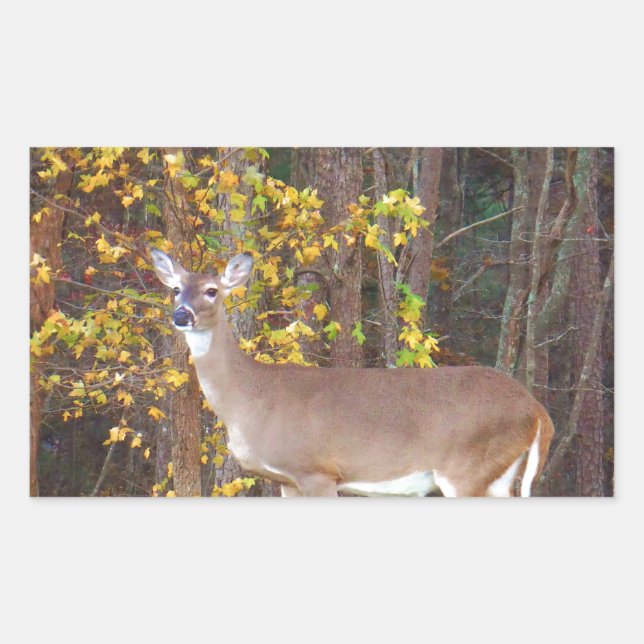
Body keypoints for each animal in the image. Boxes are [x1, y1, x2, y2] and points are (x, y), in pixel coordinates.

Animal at [150, 248, 554, 497]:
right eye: (175, 289)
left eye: (212, 290)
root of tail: (537, 410)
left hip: (467, 468)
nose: (181, 315)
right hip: (498, 474)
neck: (251, 397)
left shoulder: (317, 470)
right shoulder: (287, 479)